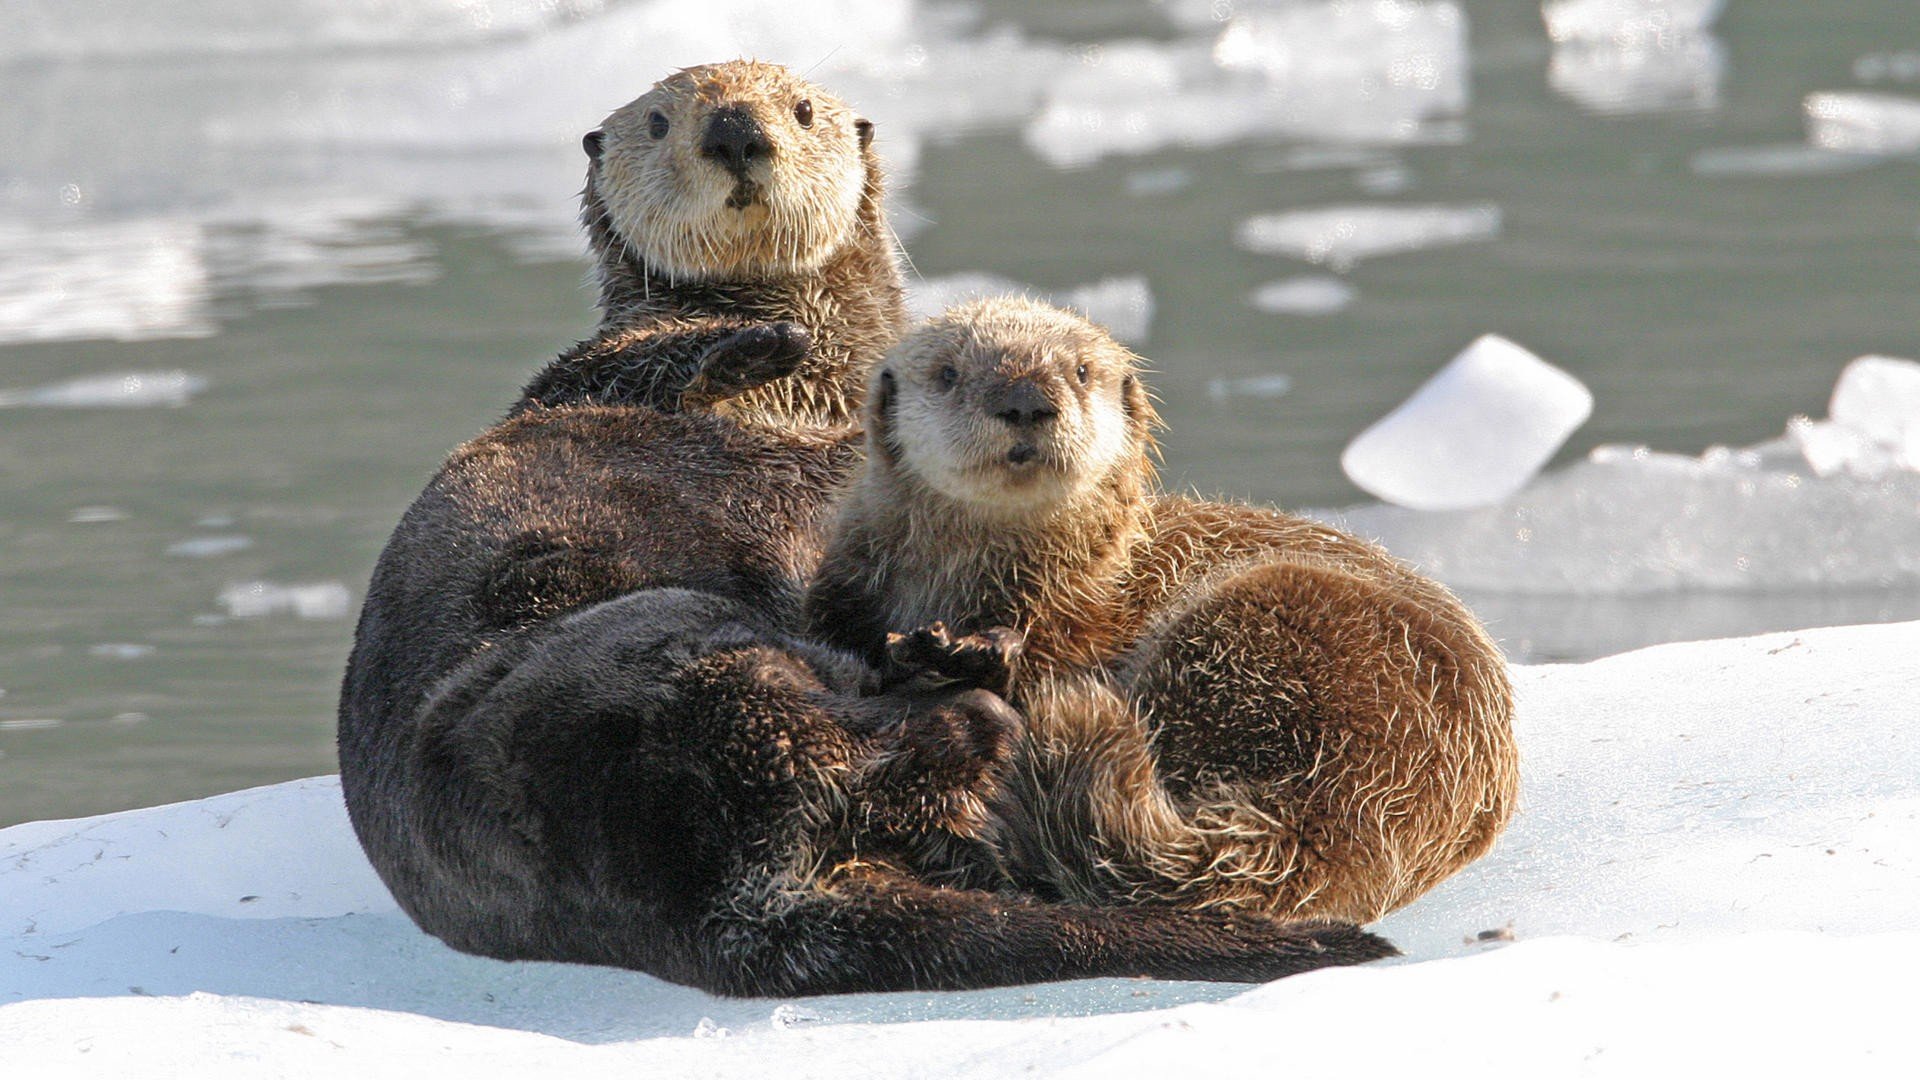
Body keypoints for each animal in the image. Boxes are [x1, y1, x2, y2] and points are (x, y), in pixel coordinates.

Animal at [338, 63, 1394, 997]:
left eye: (801, 109)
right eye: (660, 122)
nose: (736, 132)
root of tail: (724, 901)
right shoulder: (582, 389)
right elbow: (620, 370)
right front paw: (759, 344)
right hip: (683, 660)